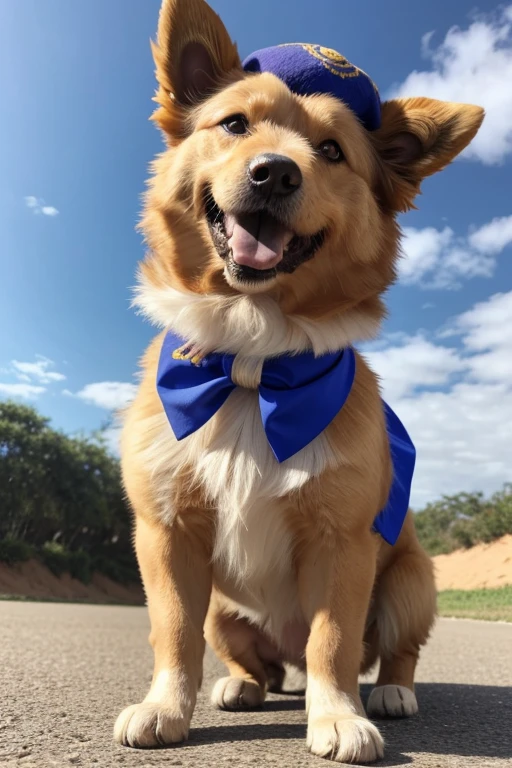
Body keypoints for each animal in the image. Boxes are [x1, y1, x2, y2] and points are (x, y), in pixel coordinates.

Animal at [113, 0, 484, 760]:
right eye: (234, 124)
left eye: (333, 151)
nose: (275, 173)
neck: (256, 365)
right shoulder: (167, 533)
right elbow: (173, 633)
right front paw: (165, 707)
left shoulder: (342, 543)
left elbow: (332, 642)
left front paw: (338, 716)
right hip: (227, 611)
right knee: (252, 660)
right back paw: (243, 686)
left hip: (413, 581)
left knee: (381, 651)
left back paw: (391, 692)